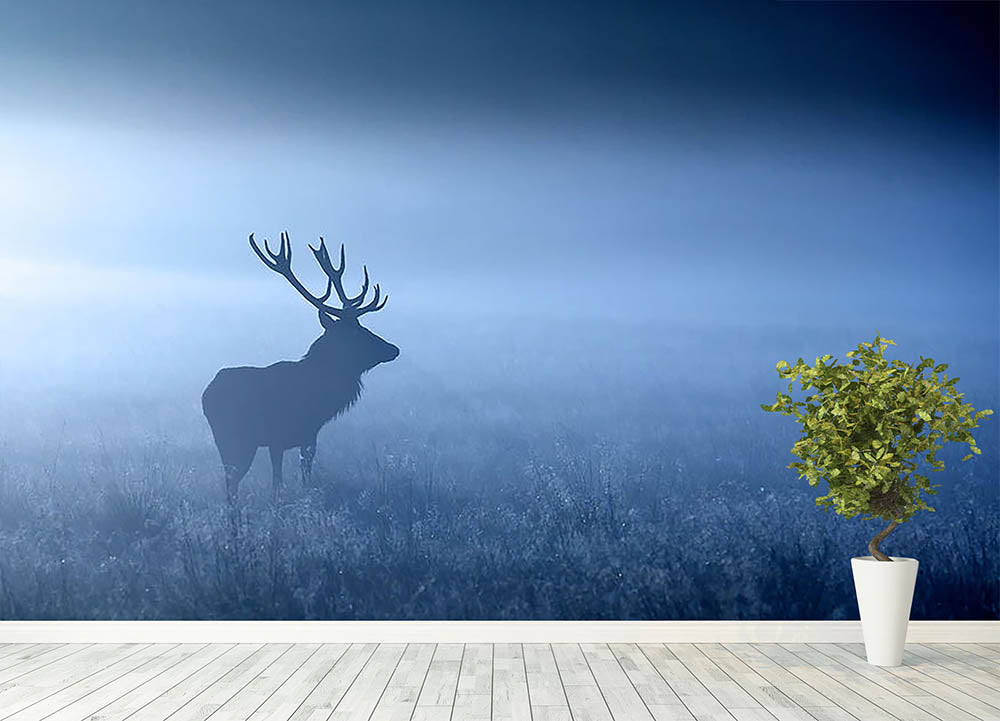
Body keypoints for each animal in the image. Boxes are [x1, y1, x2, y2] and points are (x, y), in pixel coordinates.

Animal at [202, 232, 399, 513]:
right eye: (355, 333)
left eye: (364, 327)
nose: (393, 349)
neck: (318, 398)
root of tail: (206, 393)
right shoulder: (276, 437)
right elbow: (277, 483)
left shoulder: (309, 436)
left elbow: (306, 475)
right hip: (235, 438)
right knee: (231, 484)